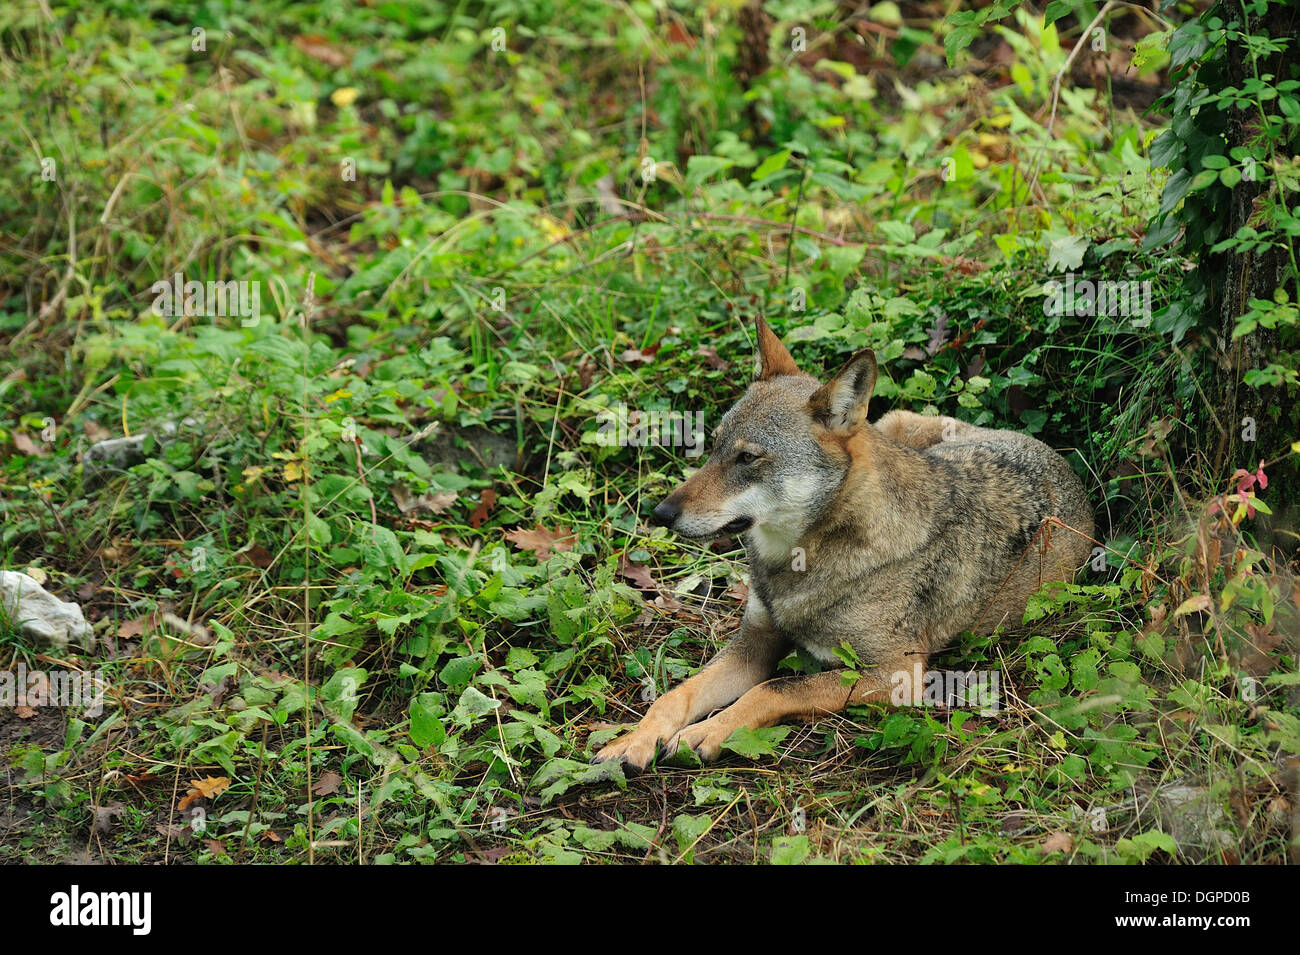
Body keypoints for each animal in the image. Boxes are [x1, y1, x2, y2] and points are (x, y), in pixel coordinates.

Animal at [595, 319, 1092, 769]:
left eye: (748, 458)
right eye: (714, 447)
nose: (660, 513)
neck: (800, 561)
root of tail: (1050, 452)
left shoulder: (898, 674)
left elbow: (772, 689)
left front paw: (708, 732)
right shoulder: (753, 646)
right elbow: (675, 696)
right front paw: (633, 741)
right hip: (892, 424)